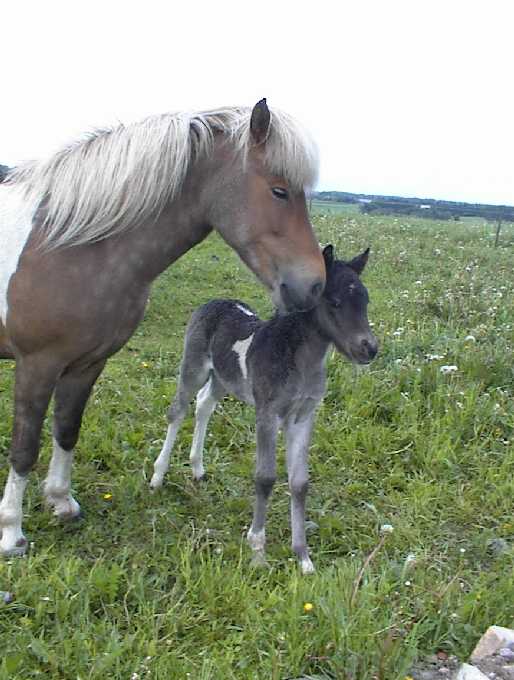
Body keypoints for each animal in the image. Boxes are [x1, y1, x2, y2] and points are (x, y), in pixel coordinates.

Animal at [151, 246, 376, 572]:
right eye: (334, 302)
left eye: (366, 300)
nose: (369, 348)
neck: (299, 360)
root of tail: (215, 301)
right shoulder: (267, 414)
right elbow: (266, 478)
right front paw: (257, 549)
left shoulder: (303, 417)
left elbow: (299, 483)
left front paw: (303, 558)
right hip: (193, 368)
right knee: (177, 411)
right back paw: (157, 476)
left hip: (223, 378)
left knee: (204, 405)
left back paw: (197, 468)